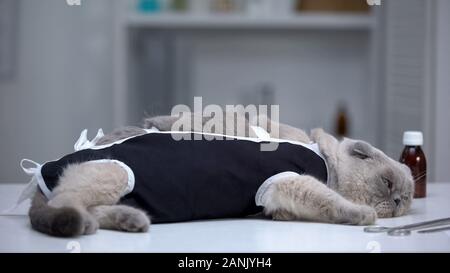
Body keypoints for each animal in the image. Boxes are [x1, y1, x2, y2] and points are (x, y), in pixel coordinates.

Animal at [27, 110, 414, 236]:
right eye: (388, 184)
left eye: (406, 199)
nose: (398, 201)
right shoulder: (292, 182)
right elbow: (332, 200)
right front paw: (363, 214)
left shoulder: (280, 196)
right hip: (115, 175)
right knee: (67, 203)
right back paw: (84, 224)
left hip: (116, 186)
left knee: (90, 208)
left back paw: (132, 221)